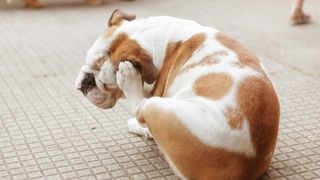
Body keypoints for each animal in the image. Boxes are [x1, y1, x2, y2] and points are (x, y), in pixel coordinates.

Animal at [75, 10, 280, 180]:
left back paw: (130, 81)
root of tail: (243, 167)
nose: (86, 82)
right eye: (87, 63)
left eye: (105, 84)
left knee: (142, 108)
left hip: (159, 108)